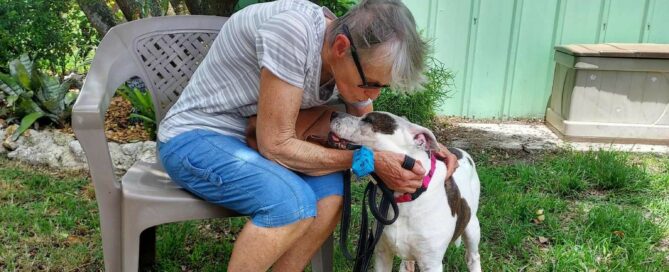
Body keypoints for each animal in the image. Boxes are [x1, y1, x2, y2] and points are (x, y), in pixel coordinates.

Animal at [328, 111, 480, 272]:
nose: (334, 113)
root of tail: (460, 151)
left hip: (472, 226)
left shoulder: (431, 264)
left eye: (369, 120)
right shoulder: (382, 254)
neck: (405, 198)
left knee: (473, 256)